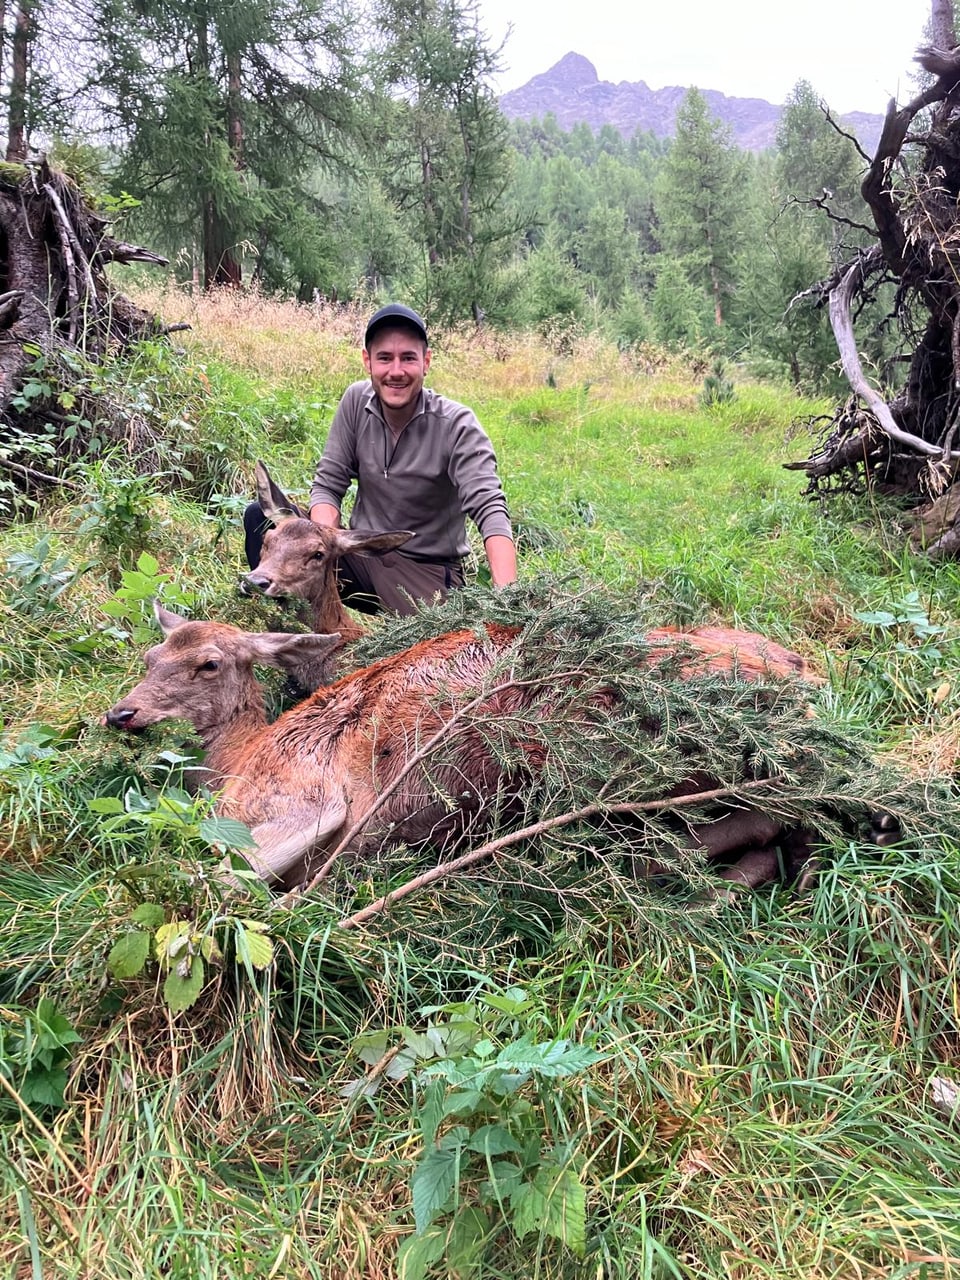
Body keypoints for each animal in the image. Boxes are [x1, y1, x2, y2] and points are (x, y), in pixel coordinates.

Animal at [103, 606, 829, 890]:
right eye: (150, 655)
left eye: (209, 664)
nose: (122, 712)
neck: (236, 759)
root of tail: (807, 676)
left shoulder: (294, 795)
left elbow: (212, 877)